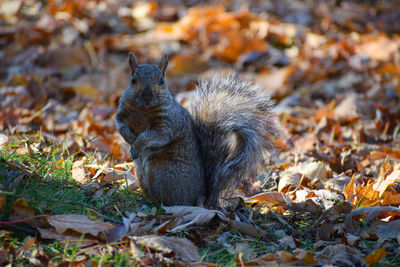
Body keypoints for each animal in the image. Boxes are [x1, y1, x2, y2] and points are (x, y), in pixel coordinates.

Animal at [115, 52, 276, 209]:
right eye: (133, 80)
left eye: (161, 80)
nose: (147, 96)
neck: (143, 109)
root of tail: (202, 195)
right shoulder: (121, 114)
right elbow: (121, 126)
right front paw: (130, 139)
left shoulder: (169, 124)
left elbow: (153, 135)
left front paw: (137, 144)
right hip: (142, 175)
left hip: (161, 173)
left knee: (168, 200)